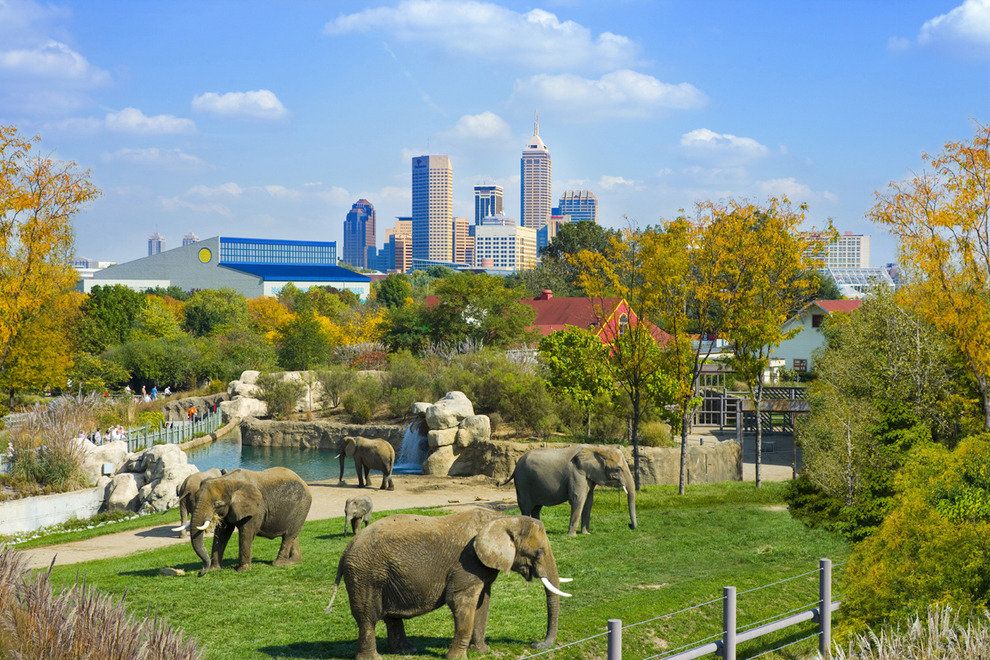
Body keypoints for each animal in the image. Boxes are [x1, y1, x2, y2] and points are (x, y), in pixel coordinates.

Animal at [328, 508, 572, 656]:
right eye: (539, 553)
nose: (535, 644)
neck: (500, 518)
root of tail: (345, 551)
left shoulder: (481, 567)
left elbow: (482, 602)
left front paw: (482, 651)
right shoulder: (467, 563)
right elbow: (461, 602)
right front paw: (458, 657)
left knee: (390, 616)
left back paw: (407, 651)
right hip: (365, 576)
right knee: (367, 618)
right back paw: (376, 657)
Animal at [500, 444, 640, 536]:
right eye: (618, 469)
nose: (630, 526)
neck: (597, 449)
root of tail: (516, 466)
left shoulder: (588, 476)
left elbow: (589, 501)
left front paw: (586, 534)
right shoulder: (576, 473)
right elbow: (578, 499)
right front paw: (572, 536)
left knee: (536, 508)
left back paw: (540, 529)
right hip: (522, 481)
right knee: (526, 507)